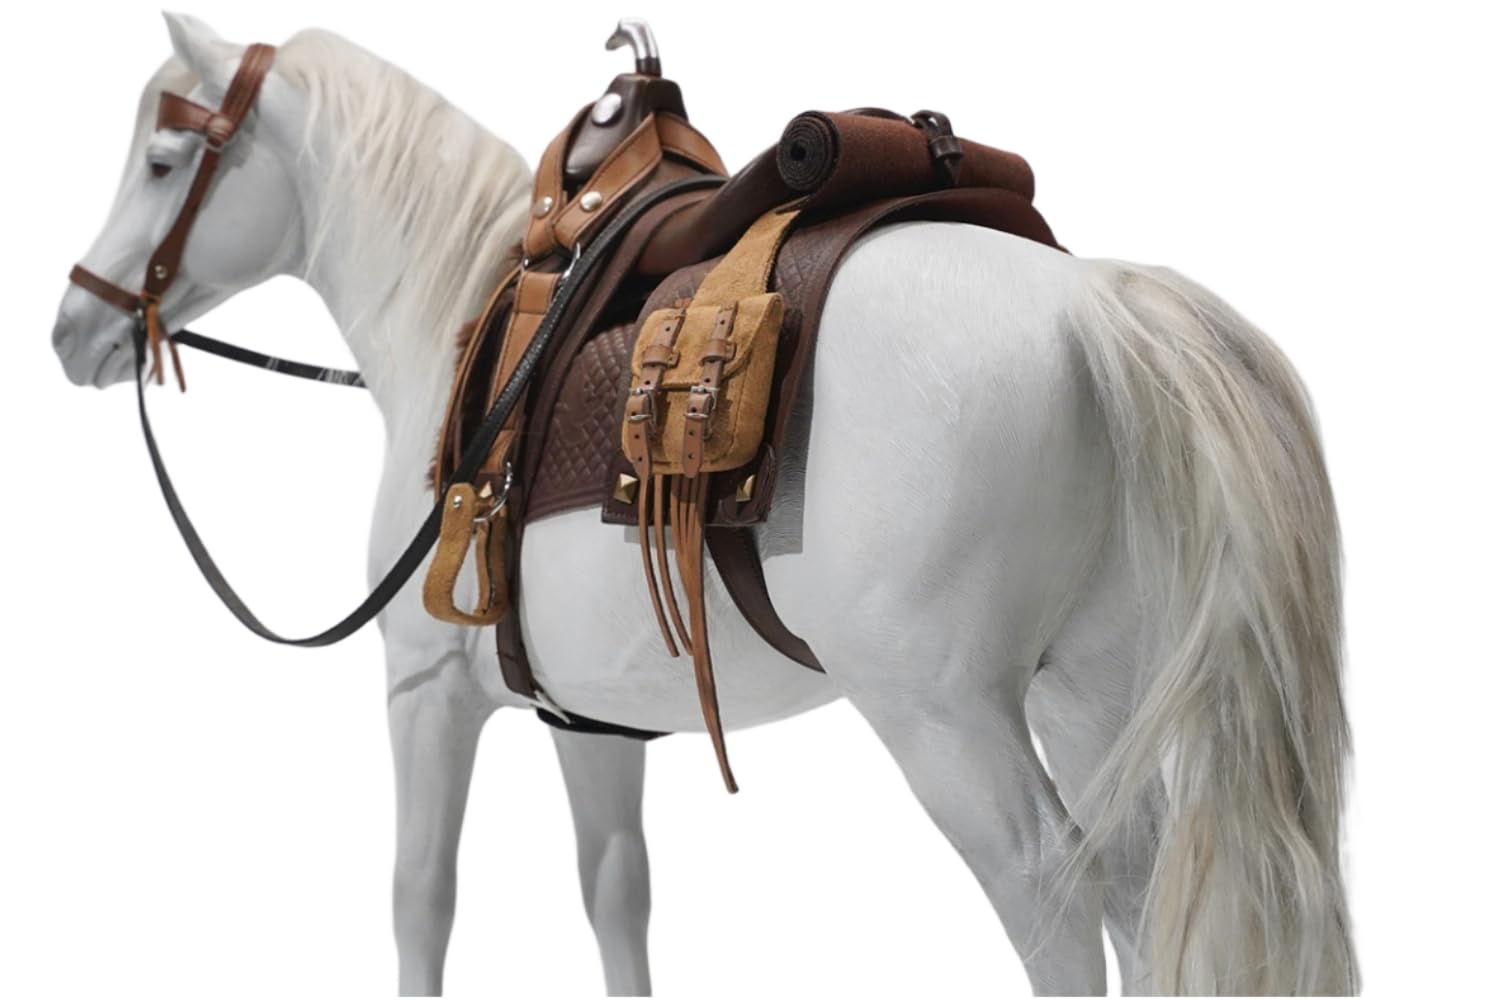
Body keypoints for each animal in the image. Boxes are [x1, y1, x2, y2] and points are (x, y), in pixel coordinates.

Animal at [49, 15, 1357, 996]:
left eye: (163, 161)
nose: (73, 327)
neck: (467, 313)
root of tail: (1095, 304)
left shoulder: (424, 693)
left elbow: (421, 898)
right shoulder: (588, 718)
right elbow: (616, 891)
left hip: (947, 719)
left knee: (1053, 896)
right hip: (1095, 691)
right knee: (1138, 885)